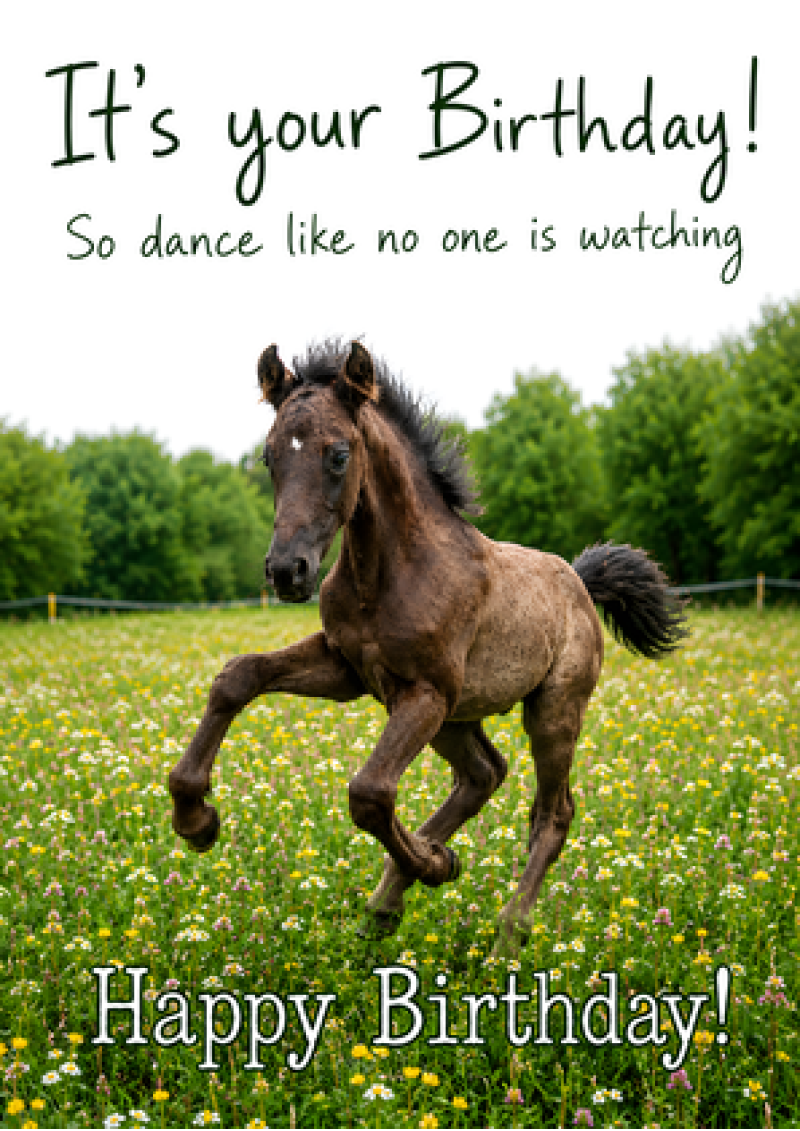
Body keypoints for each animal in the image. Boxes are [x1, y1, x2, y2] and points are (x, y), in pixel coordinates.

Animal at [168, 338, 687, 953]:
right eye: (271, 457)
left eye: (338, 454)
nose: (287, 571)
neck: (388, 573)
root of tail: (581, 580)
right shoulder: (348, 670)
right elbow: (238, 676)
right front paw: (196, 818)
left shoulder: (426, 691)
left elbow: (369, 793)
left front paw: (439, 866)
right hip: (458, 717)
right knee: (483, 774)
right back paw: (386, 904)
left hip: (549, 710)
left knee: (552, 813)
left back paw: (504, 933)